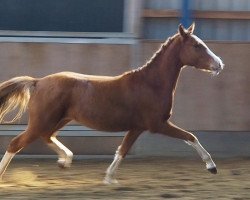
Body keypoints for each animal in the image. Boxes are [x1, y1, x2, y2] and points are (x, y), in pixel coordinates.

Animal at [0, 23, 223, 183]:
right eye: (196, 45)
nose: (219, 64)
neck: (150, 84)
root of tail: (38, 82)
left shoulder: (136, 128)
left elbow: (122, 151)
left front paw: (109, 179)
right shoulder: (157, 125)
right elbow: (191, 137)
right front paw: (211, 167)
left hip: (59, 120)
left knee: (47, 136)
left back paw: (66, 160)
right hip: (41, 122)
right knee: (16, 143)